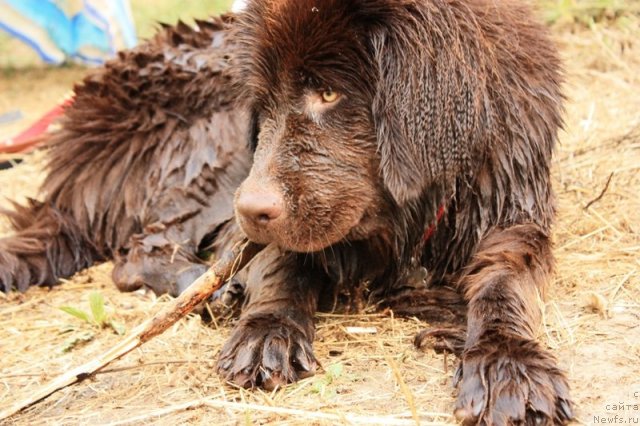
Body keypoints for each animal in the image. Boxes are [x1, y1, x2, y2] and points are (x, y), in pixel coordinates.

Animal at [0, 1, 572, 424]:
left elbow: (504, 284)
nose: (251, 208)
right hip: (214, 143)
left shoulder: (512, 211)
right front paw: (266, 330)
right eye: (265, 103)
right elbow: (283, 263)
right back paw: (219, 290)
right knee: (143, 250)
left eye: (329, 92)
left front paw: (507, 362)